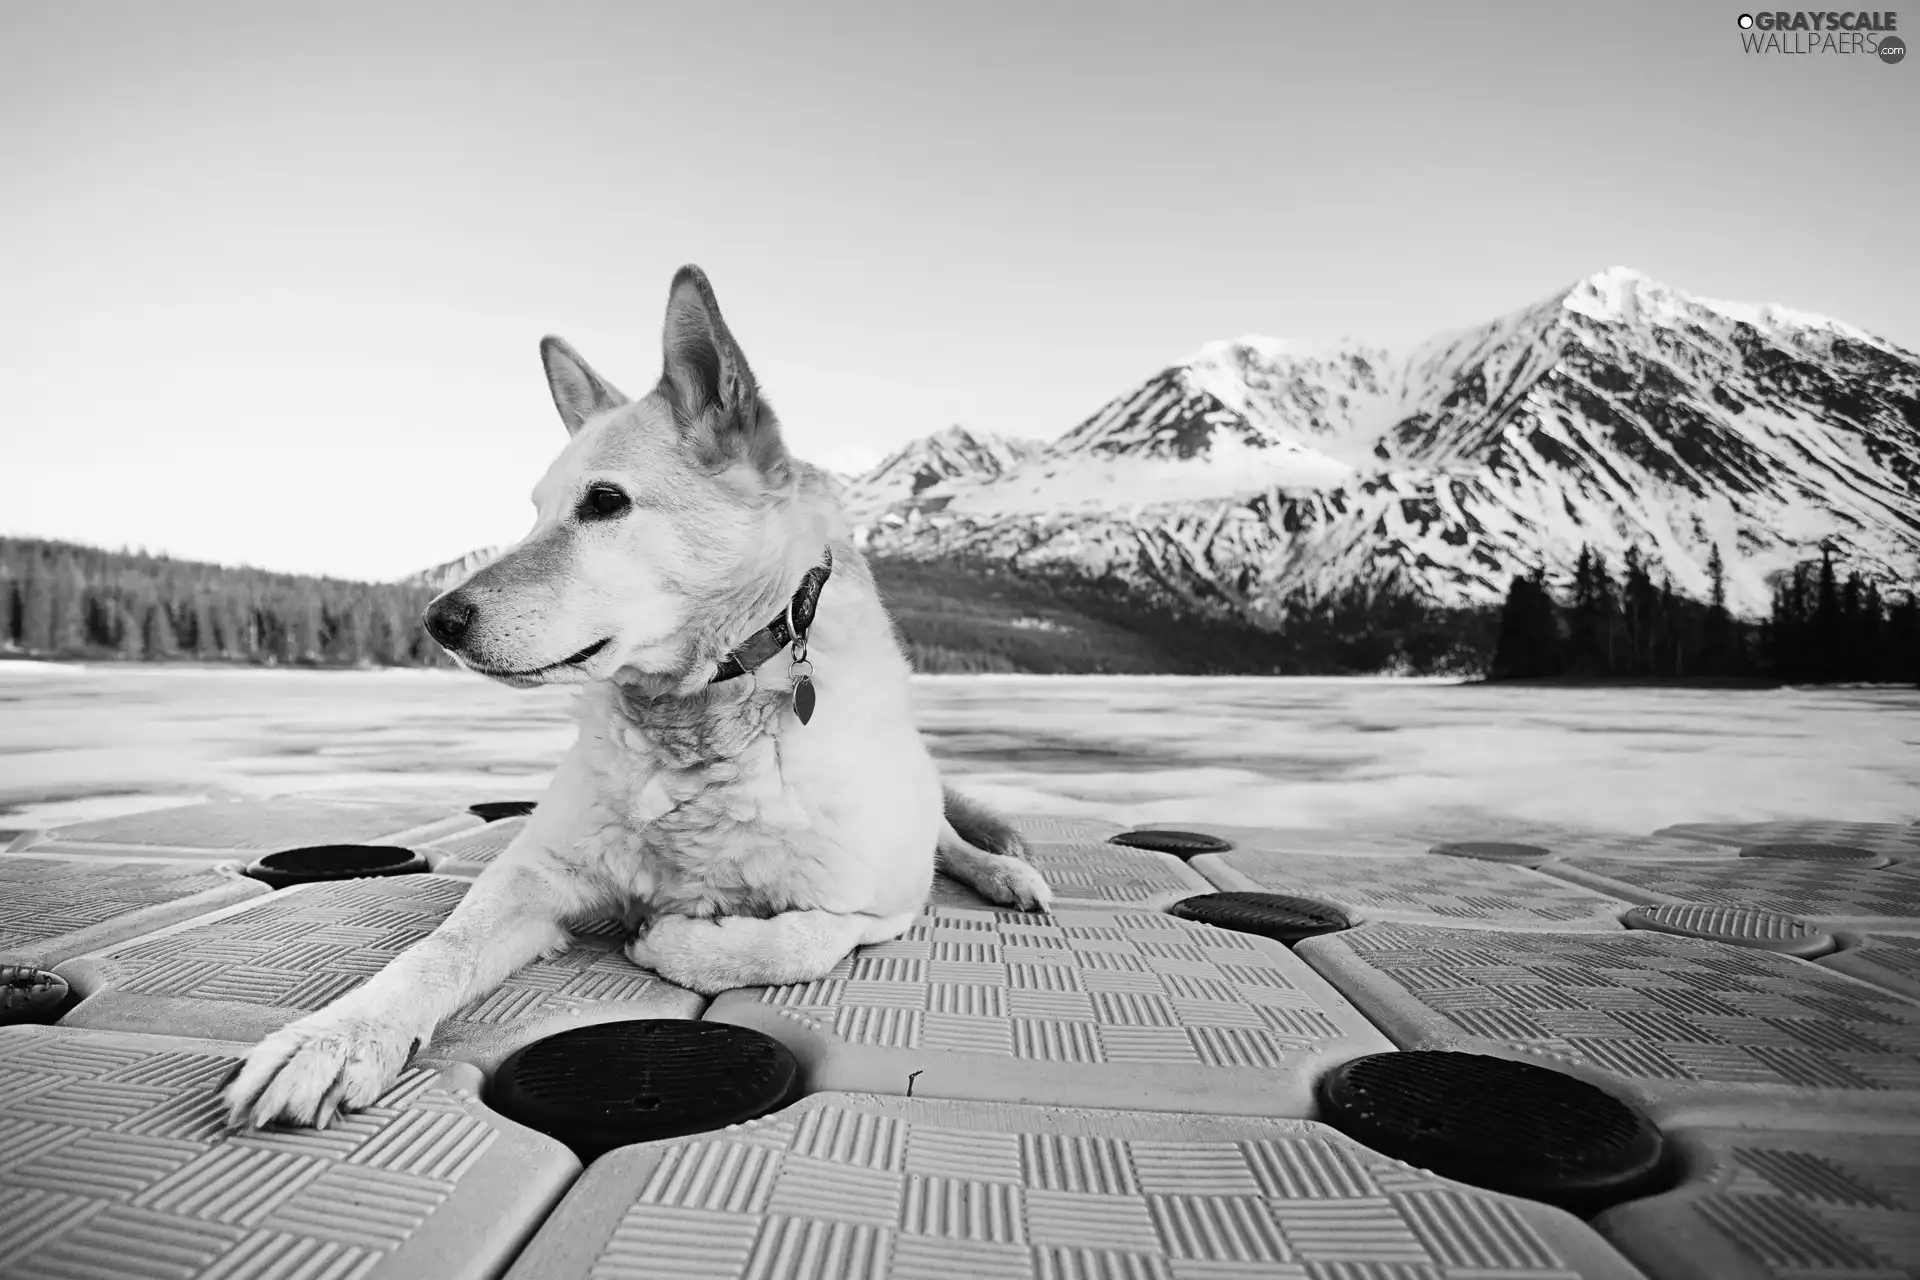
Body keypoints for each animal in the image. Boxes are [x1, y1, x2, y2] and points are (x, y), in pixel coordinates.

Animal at [232, 264, 1059, 1128]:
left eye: (604, 502)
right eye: (535, 511)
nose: (437, 619)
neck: (701, 719)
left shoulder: (878, 908)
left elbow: (791, 941)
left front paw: (676, 942)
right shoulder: (533, 875)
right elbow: (438, 951)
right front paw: (336, 1038)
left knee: (946, 840)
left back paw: (1005, 873)